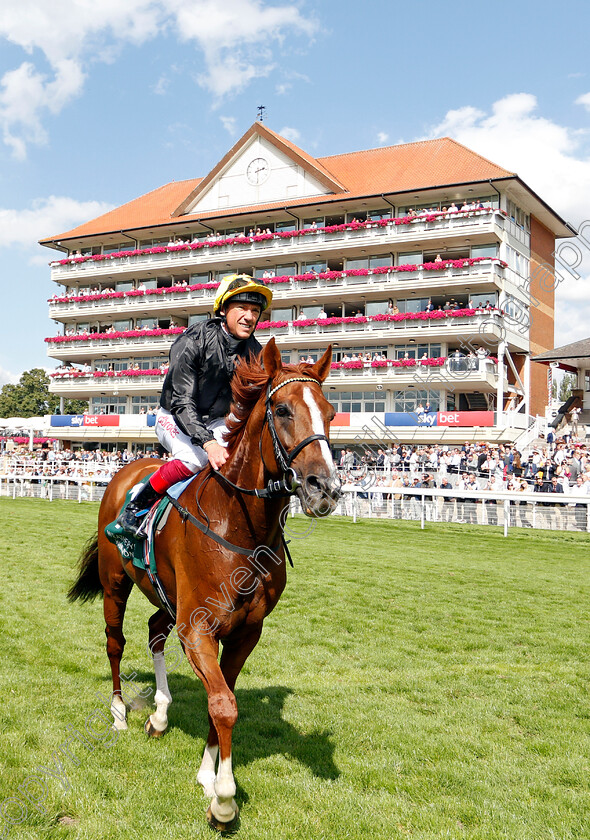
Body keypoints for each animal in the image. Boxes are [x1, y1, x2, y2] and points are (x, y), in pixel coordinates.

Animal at [68, 338, 342, 832]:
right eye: (283, 410)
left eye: (331, 412)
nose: (324, 488)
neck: (241, 526)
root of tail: (124, 472)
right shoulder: (197, 627)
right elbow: (224, 704)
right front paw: (224, 800)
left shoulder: (243, 631)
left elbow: (223, 698)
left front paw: (207, 775)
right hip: (115, 583)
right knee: (115, 642)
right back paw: (119, 712)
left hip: (167, 596)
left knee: (154, 631)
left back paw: (159, 714)